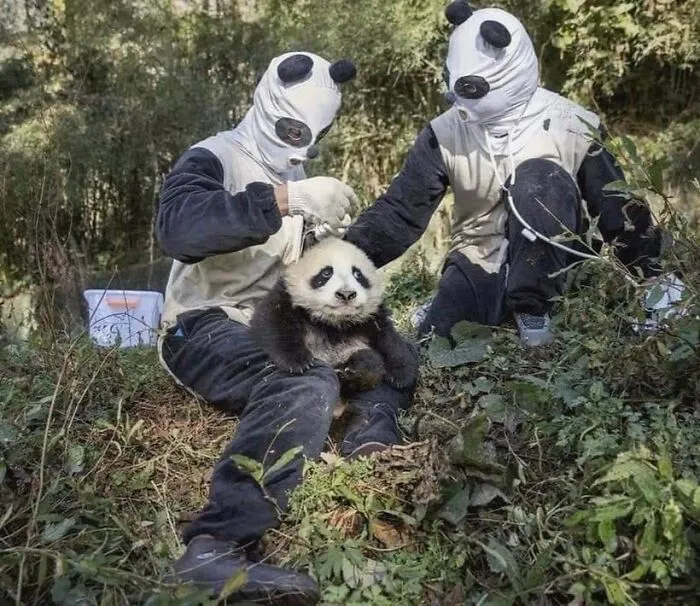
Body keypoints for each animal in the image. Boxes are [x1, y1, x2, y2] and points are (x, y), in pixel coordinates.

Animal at [250, 237, 419, 407]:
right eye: (326, 273)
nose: (346, 294)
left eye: (358, 274)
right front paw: (297, 361)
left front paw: (401, 375)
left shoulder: (371, 318)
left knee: (370, 361)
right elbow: (271, 321)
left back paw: (352, 371)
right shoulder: (287, 298)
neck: (334, 322)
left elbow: (388, 339)